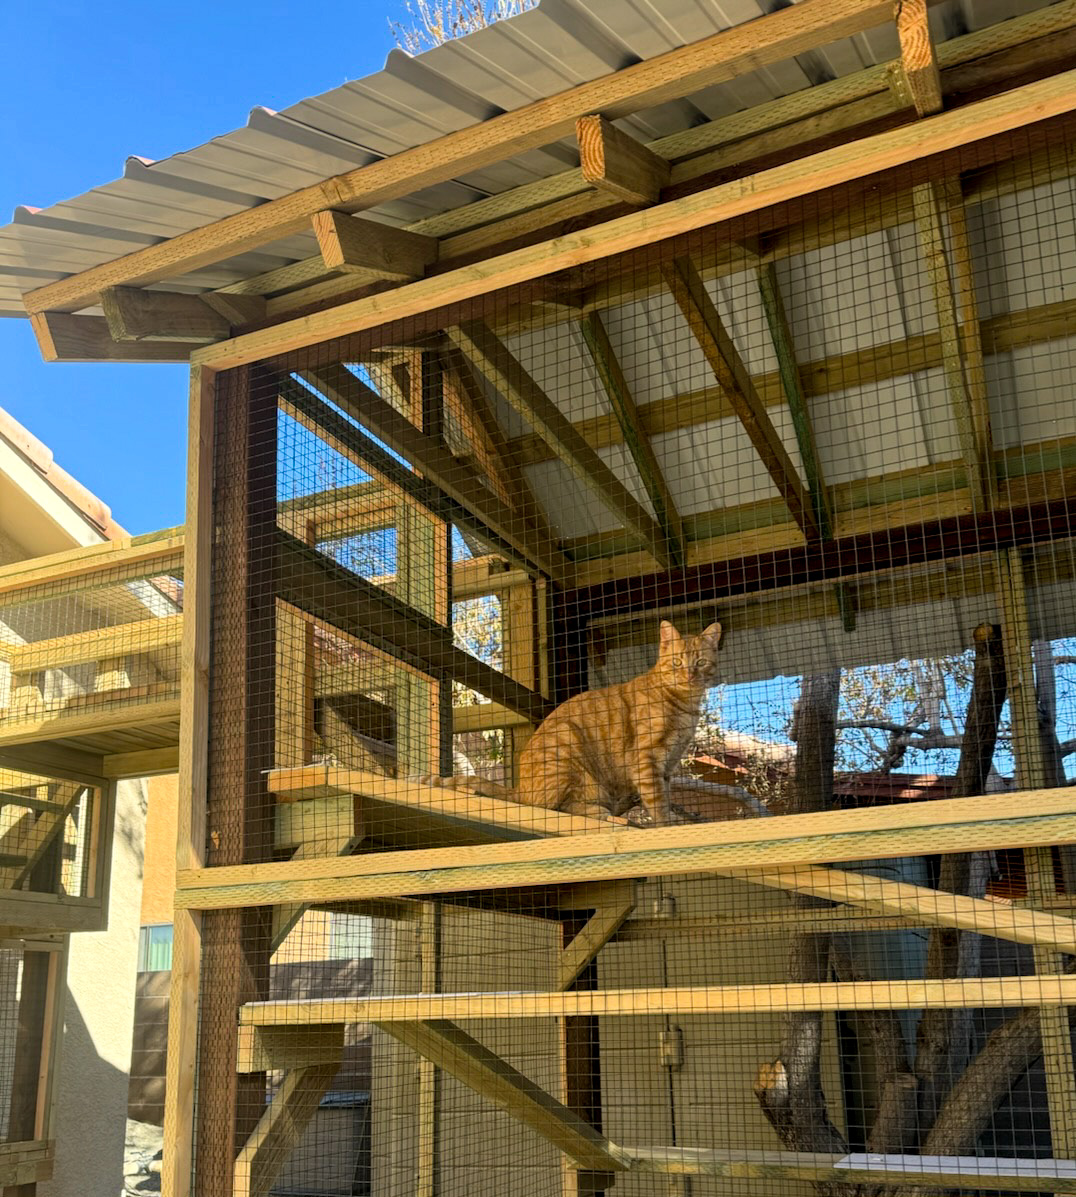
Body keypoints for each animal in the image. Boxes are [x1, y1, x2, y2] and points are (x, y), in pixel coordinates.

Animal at [514, 617, 722, 823]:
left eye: (701, 662)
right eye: (677, 662)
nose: (689, 675)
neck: (685, 704)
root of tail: (518, 791)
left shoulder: (669, 763)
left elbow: (666, 795)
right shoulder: (646, 758)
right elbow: (657, 799)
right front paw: (666, 823)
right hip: (566, 743)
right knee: (554, 809)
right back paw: (598, 812)